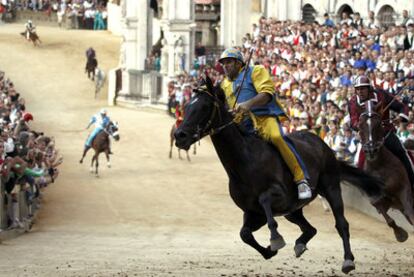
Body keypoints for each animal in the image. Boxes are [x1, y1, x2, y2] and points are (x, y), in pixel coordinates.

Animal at [356, 100, 414, 240]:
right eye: (360, 126)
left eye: (378, 124)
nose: (371, 150)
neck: (379, 166)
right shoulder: (379, 201)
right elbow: (389, 219)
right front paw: (400, 234)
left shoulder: (405, 192)